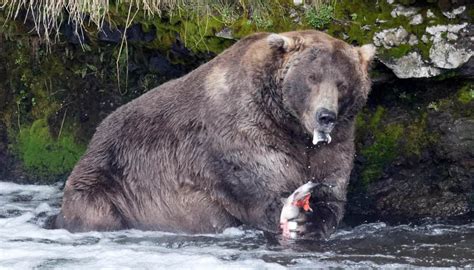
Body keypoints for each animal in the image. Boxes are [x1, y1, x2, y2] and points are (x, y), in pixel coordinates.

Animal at [54, 30, 374, 238]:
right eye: (312, 77)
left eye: (342, 83)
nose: (326, 116)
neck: (291, 126)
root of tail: (94, 136)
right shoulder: (240, 132)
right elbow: (258, 184)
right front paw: (292, 213)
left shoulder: (335, 143)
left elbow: (332, 190)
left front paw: (312, 220)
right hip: (109, 179)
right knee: (94, 210)